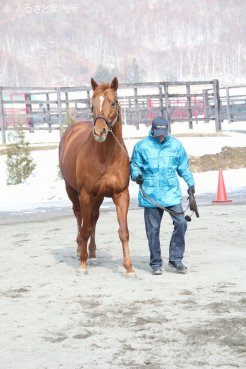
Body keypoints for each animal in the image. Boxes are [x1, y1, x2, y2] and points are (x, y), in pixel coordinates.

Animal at [58, 77, 134, 272]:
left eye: (113, 102)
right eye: (92, 105)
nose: (100, 132)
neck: (105, 157)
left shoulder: (121, 195)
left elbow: (123, 231)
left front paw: (129, 268)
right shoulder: (85, 194)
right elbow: (85, 228)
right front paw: (82, 264)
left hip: (98, 197)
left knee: (93, 218)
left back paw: (92, 253)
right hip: (72, 190)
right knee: (80, 217)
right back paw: (80, 250)